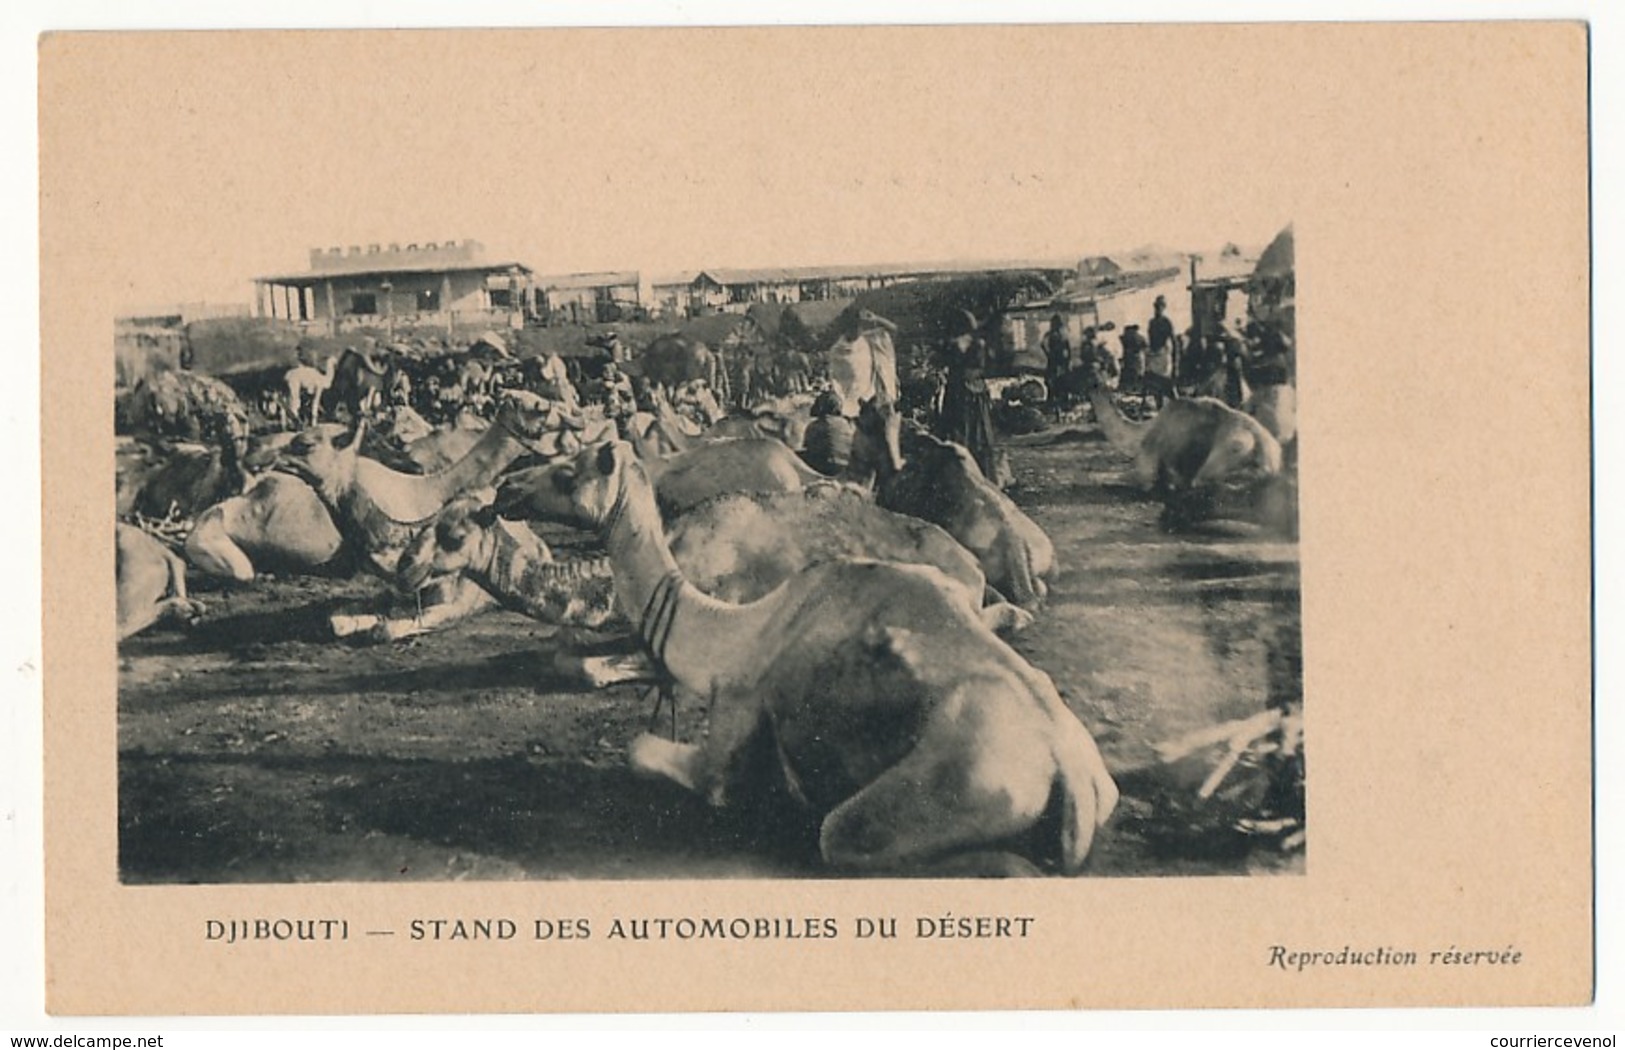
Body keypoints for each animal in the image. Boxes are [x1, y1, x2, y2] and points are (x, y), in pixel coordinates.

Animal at [494, 445, 1118, 877]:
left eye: (568, 470)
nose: (504, 487)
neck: (730, 629)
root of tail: (1071, 776)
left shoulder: (735, 720)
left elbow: (648, 752)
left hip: (956, 787)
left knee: (845, 836)